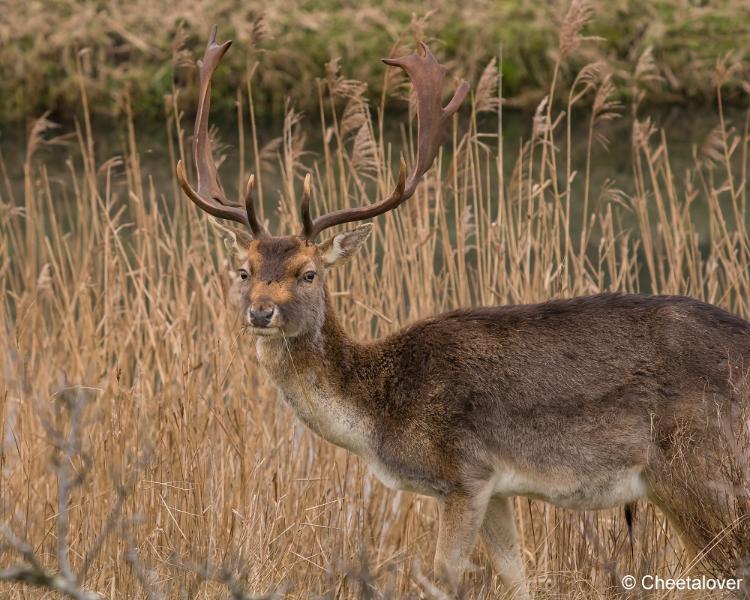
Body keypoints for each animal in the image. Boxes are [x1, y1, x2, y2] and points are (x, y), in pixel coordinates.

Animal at [178, 27, 750, 596]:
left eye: (309, 272)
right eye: (243, 270)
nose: (261, 313)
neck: (378, 413)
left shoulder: (462, 473)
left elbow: (441, 577)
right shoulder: (497, 487)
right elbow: (518, 577)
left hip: (695, 470)